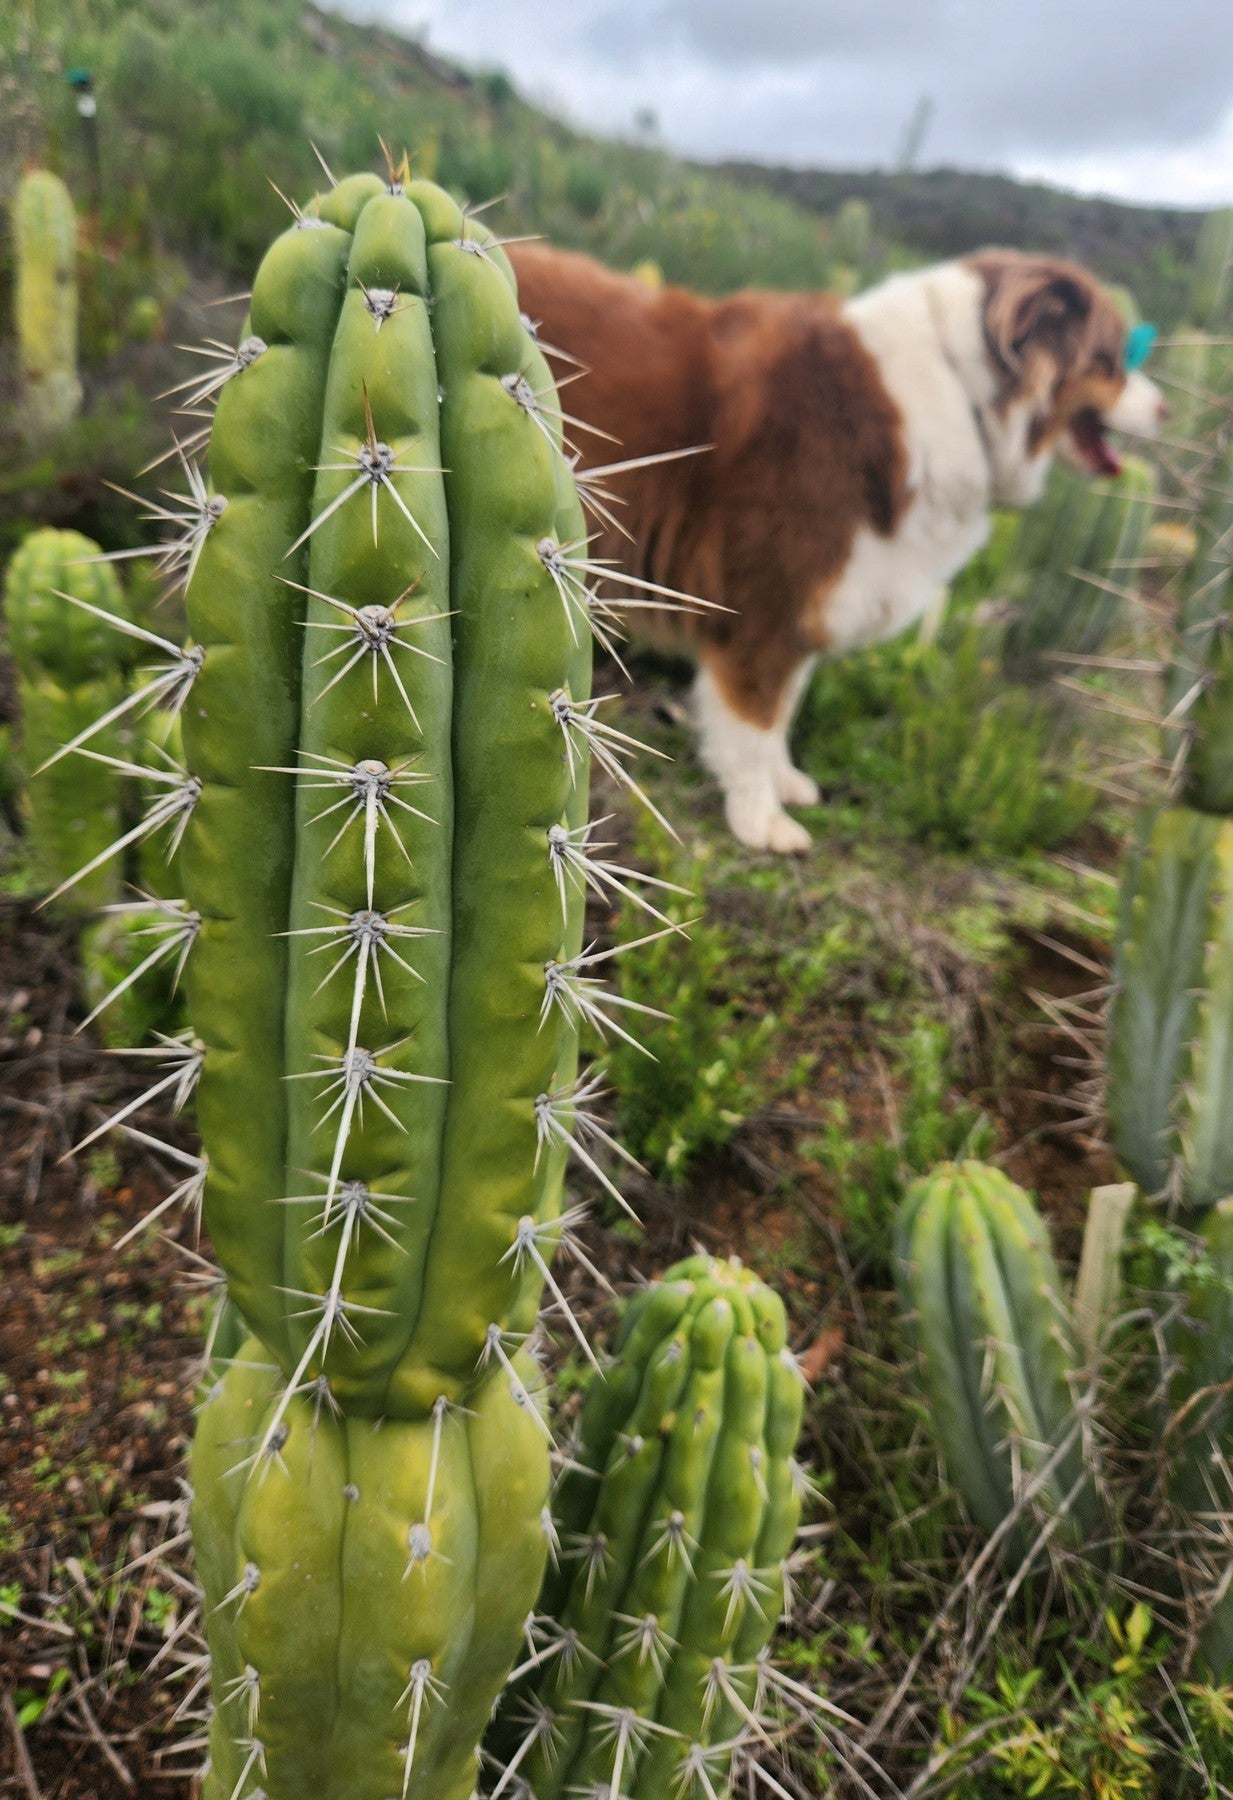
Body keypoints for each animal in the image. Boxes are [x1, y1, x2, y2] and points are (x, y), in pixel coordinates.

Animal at [507, 239, 1166, 849]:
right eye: (1112, 359)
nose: (1166, 408)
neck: (962, 392)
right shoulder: (764, 611)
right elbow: (754, 721)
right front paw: (760, 819)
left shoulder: (813, 608)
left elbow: (783, 710)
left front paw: (783, 782)